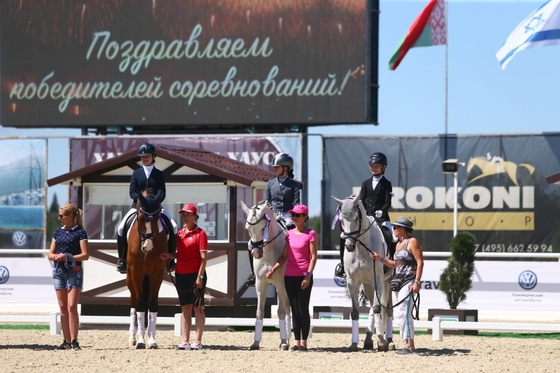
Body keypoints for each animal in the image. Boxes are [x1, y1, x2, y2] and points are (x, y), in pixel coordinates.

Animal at [126, 192, 168, 348]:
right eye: (140, 217)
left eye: (156, 218)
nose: (148, 247)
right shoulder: (136, 273)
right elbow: (140, 306)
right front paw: (140, 341)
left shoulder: (157, 274)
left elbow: (152, 305)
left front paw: (151, 340)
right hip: (130, 278)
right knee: (133, 303)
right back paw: (132, 337)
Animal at [241, 201, 290, 348]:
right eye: (247, 229)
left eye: (263, 228)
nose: (256, 253)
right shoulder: (260, 283)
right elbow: (259, 312)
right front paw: (255, 343)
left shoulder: (281, 283)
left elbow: (281, 311)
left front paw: (284, 342)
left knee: (287, 308)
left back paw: (289, 338)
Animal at [330, 195, 392, 352]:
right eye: (341, 219)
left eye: (357, 218)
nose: (349, 246)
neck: (360, 247)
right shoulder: (352, 282)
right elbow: (355, 312)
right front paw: (354, 343)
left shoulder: (377, 279)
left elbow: (377, 308)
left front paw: (382, 341)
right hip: (368, 285)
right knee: (371, 306)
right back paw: (369, 339)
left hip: (387, 281)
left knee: (387, 308)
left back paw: (389, 340)